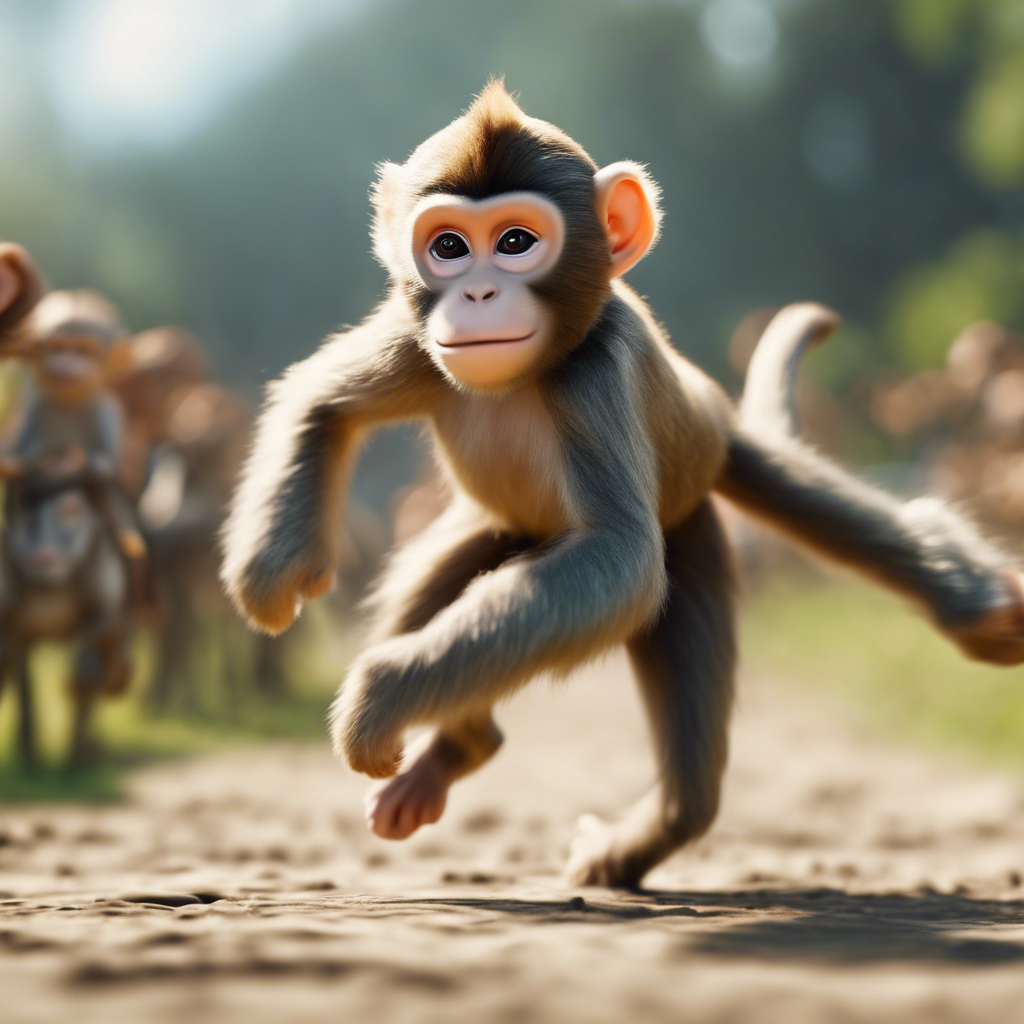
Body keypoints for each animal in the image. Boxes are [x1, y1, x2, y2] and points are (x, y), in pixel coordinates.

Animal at [221, 83, 1024, 888]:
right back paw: (460, 750)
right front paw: (274, 571)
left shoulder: (596, 371)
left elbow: (621, 561)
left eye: (515, 242)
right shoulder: (415, 341)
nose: (477, 293)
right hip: (509, 531)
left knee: (803, 522)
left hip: (697, 504)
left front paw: (380, 696)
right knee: (438, 575)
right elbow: (322, 403)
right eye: (447, 247)